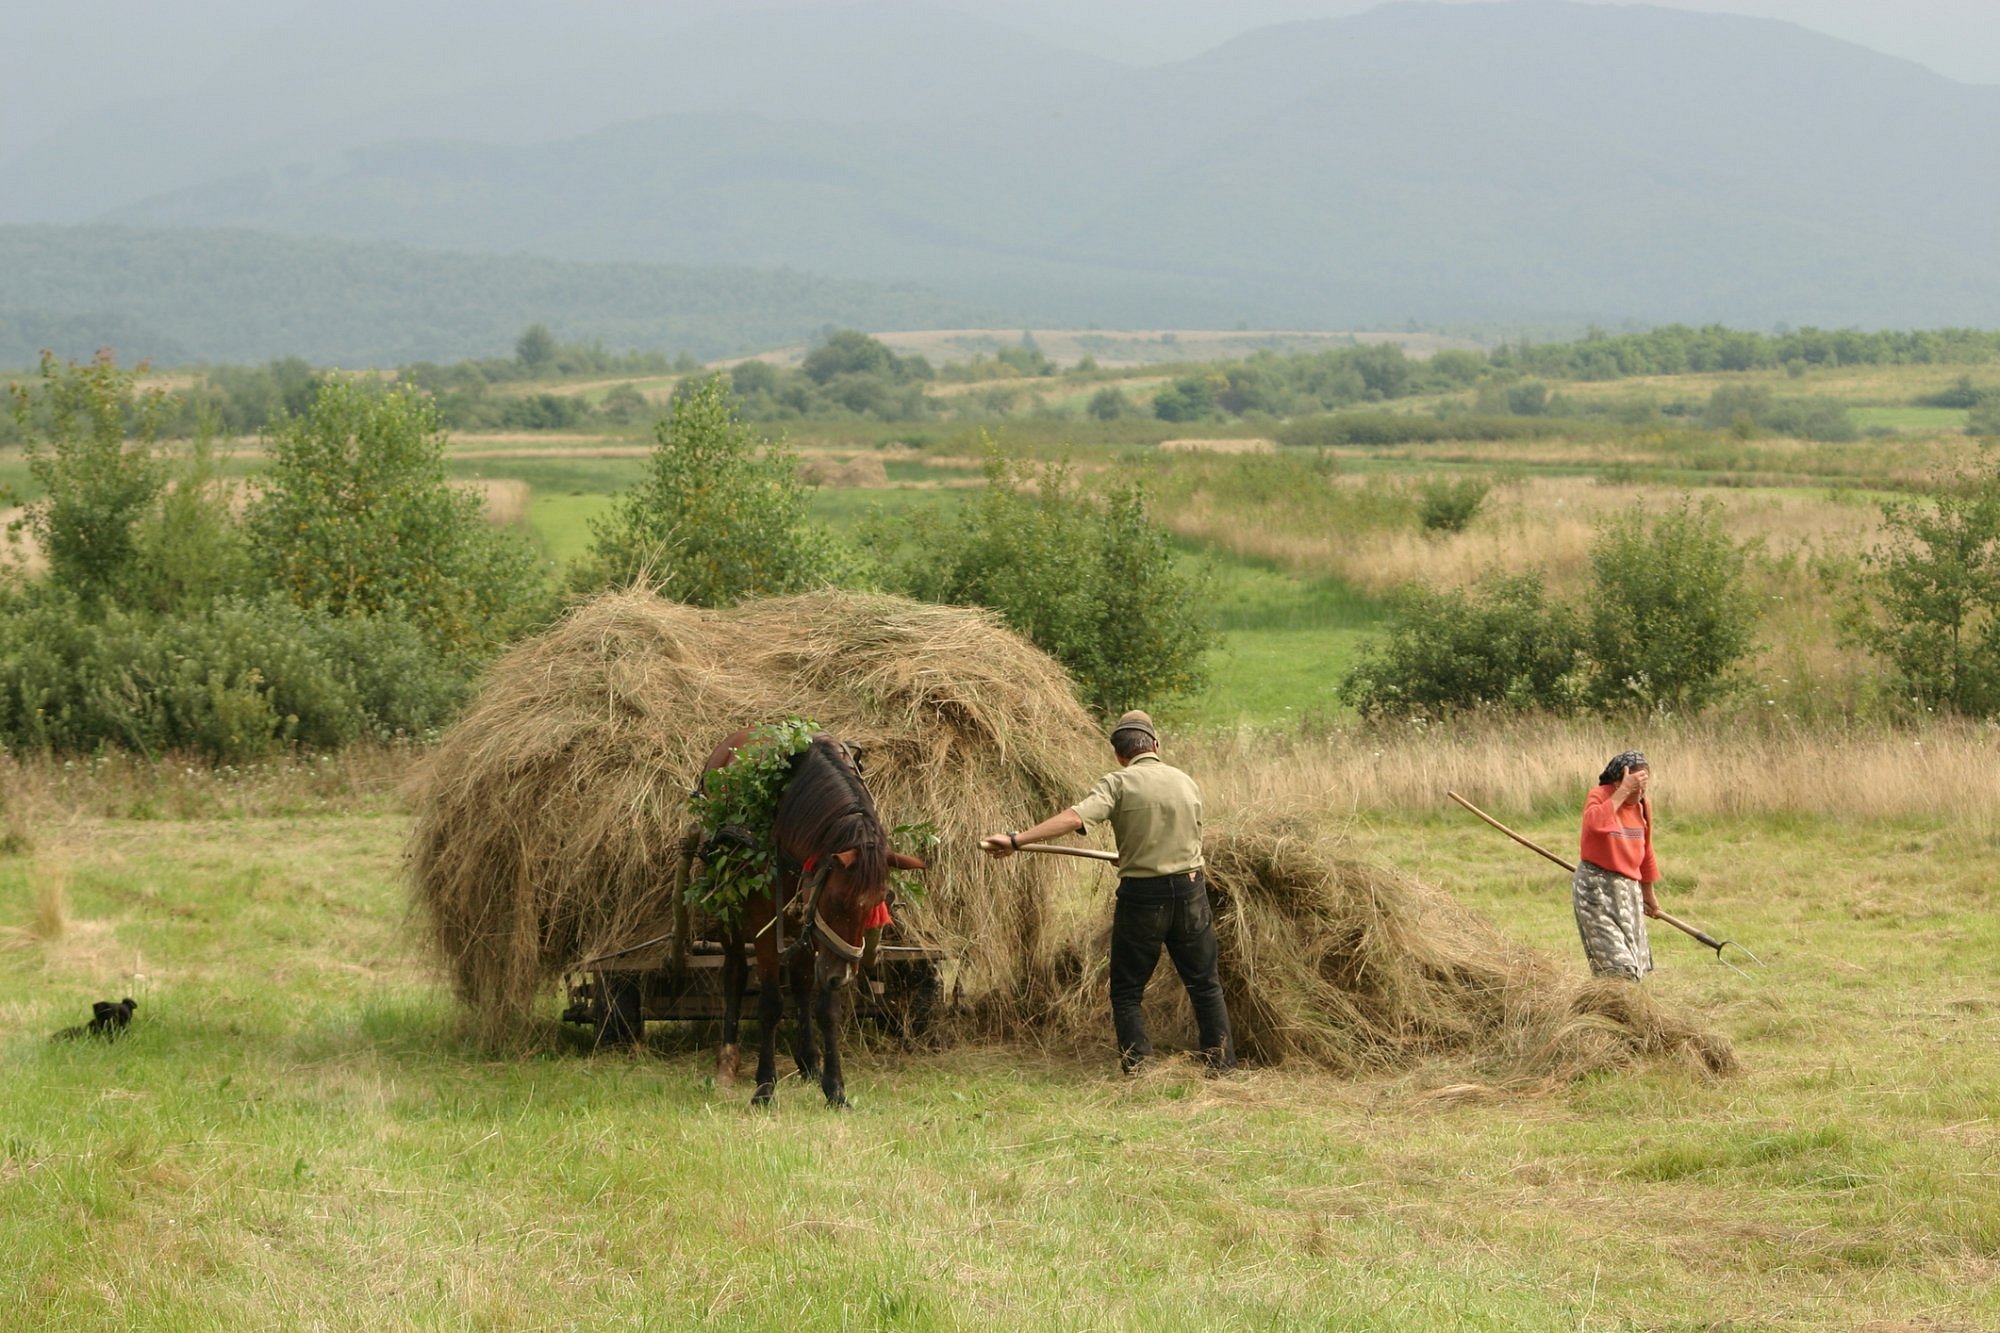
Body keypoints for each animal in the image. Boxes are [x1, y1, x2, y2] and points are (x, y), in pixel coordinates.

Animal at [696, 728, 920, 1096]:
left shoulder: (819, 928)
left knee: (801, 979)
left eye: (879, 902)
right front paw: (765, 1086)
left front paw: (834, 1087)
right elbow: (770, 1002)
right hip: (728, 904)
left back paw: (808, 1061)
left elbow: (825, 1006)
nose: (840, 977)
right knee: (736, 972)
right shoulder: (764, 919)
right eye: (838, 901)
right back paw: (727, 1061)